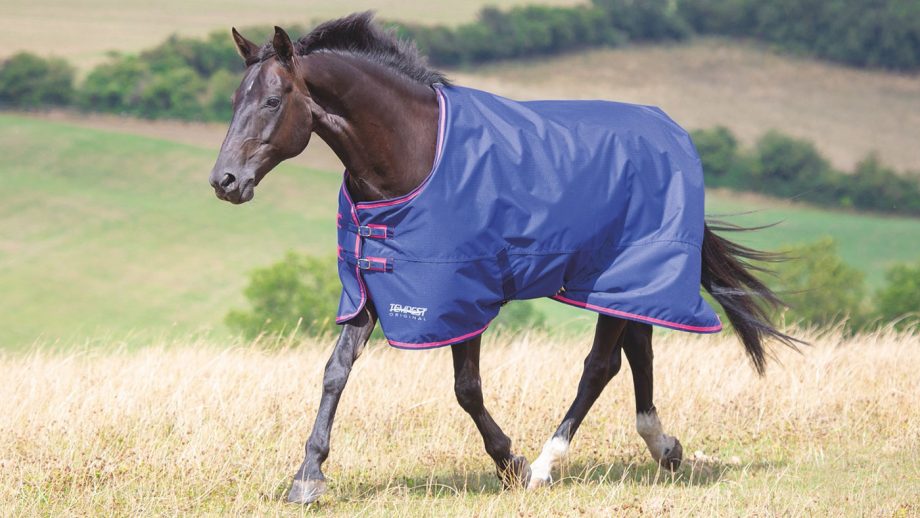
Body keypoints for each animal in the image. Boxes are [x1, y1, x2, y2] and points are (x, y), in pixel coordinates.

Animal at [208, 12, 796, 505]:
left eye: (273, 101)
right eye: (236, 99)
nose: (224, 181)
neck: (413, 151)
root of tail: (673, 135)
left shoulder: (459, 292)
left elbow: (466, 389)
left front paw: (509, 462)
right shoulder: (375, 287)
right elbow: (336, 371)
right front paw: (308, 476)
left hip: (617, 272)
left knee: (599, 366)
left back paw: (545, 465)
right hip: (624, 281)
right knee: (637, 348)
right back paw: (664, 447)